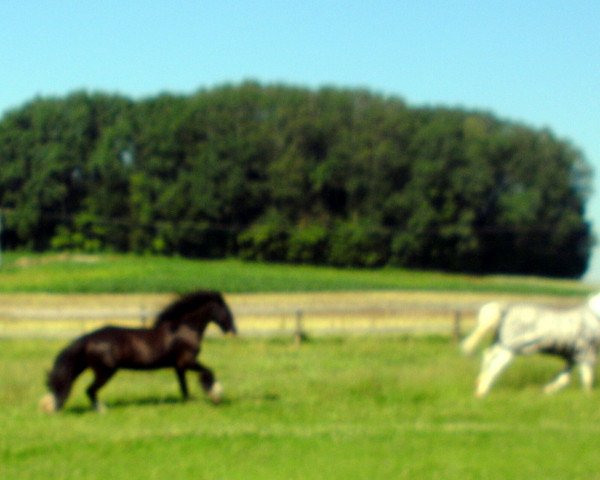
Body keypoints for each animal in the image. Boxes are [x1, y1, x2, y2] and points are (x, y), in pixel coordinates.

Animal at [38, 288, 237, 412]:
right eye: (226, 311)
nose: (233, 331)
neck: (184, 329)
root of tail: (89, 338)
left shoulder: (178, 366)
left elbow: (184, 387)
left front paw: (189, 401)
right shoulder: (187, 362)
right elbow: (208, 372)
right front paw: (216, 395)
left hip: (87, 367)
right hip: (105, 371)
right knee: (90, 390)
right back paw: (101, 409)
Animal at [462, 292, 600, 398]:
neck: (595, 316)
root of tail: (505, 311)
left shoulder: (574, 356)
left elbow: (564, 378)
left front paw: (547, 390)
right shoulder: (586, 352)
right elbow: (587, 379)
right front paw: (588, 396)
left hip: (501, 343)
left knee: (488, 355)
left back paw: (478, 383)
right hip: (510, 348)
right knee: (496, 367)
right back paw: (481, 393)